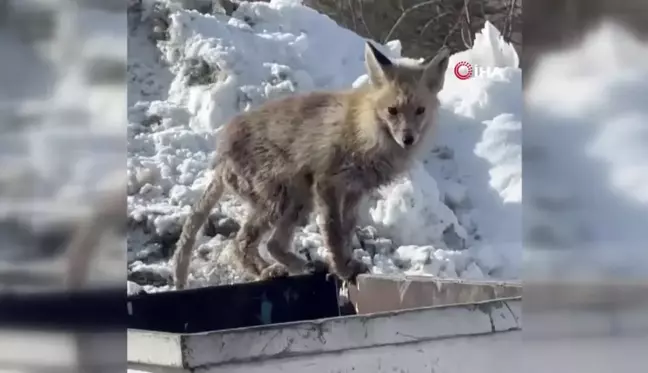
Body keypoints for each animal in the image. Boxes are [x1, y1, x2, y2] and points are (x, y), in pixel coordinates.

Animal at [170, 41, 448, 290]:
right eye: (392, 110)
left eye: (420, 110)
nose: (408, 139)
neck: (366, 133)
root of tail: (221, 152)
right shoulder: (328, 183)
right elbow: (334, 234)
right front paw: (342, 269)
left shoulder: (354, 190)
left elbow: (346, 233)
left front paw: (347, 265)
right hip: (281, 200)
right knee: (240, 243)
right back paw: (267, 272)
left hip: (299, 200)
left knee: (272, 244)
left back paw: (299, 266)